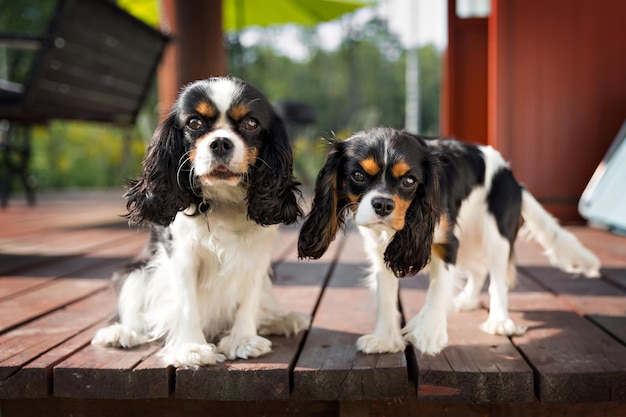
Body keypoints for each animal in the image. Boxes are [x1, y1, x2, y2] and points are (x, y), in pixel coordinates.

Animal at [91, 76, 310, 366]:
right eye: (194, 123)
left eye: (251, 123)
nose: (220, 143)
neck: (223, 198)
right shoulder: (181, 256)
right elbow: (187, 304)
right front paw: (191, 347)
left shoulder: (257, 257)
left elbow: (248, 300)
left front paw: (243, 340)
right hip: (135, 272)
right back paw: (121, 332)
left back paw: (281, 320)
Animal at [298, 127, 600, 354]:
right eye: (358, 176)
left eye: (409, 181)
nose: (382, 204)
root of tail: (513, 178)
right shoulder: (380, 249)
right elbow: (386, 296)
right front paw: (384, 338)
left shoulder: (445, 243)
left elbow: (437, 289)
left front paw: (429, 333)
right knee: (478, 270)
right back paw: (465, 301)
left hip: (495, 233)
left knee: (498, 280)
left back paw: (499, 321)